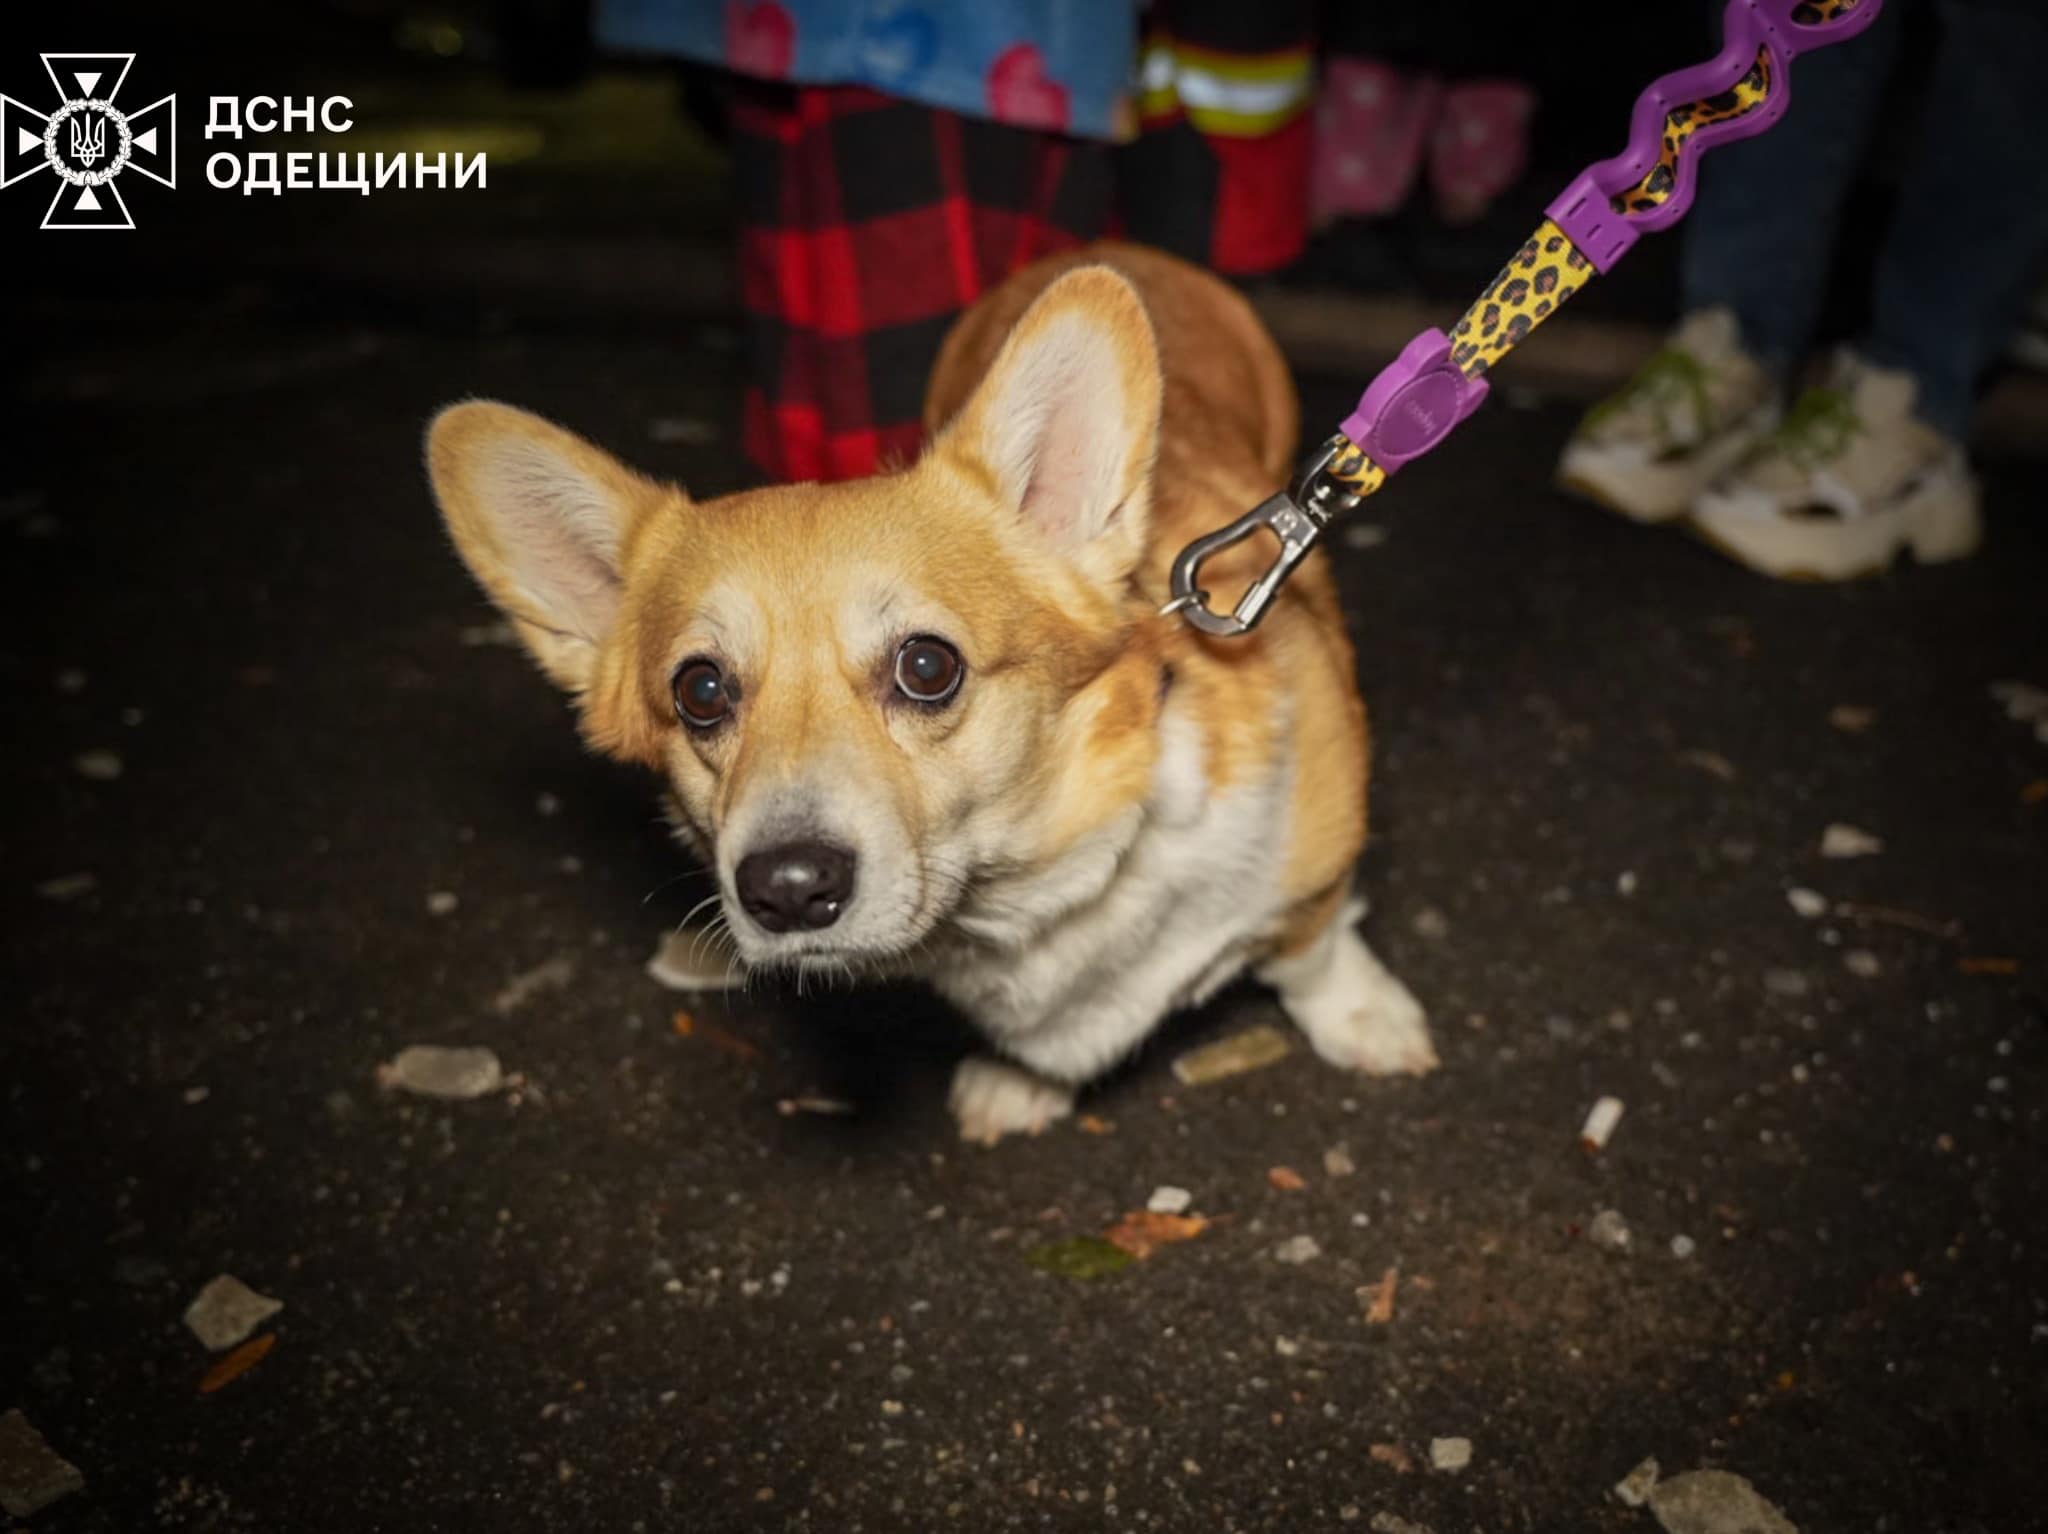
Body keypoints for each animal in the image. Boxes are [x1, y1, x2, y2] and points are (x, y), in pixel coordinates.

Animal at [423, 242, 1433, 1138]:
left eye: (926, 667)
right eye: (700, 690)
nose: (789, 890)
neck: (1043, 875)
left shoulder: (1313, 868)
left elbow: (1311, 953)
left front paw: (1364, 1020)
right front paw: (1025, 1082)